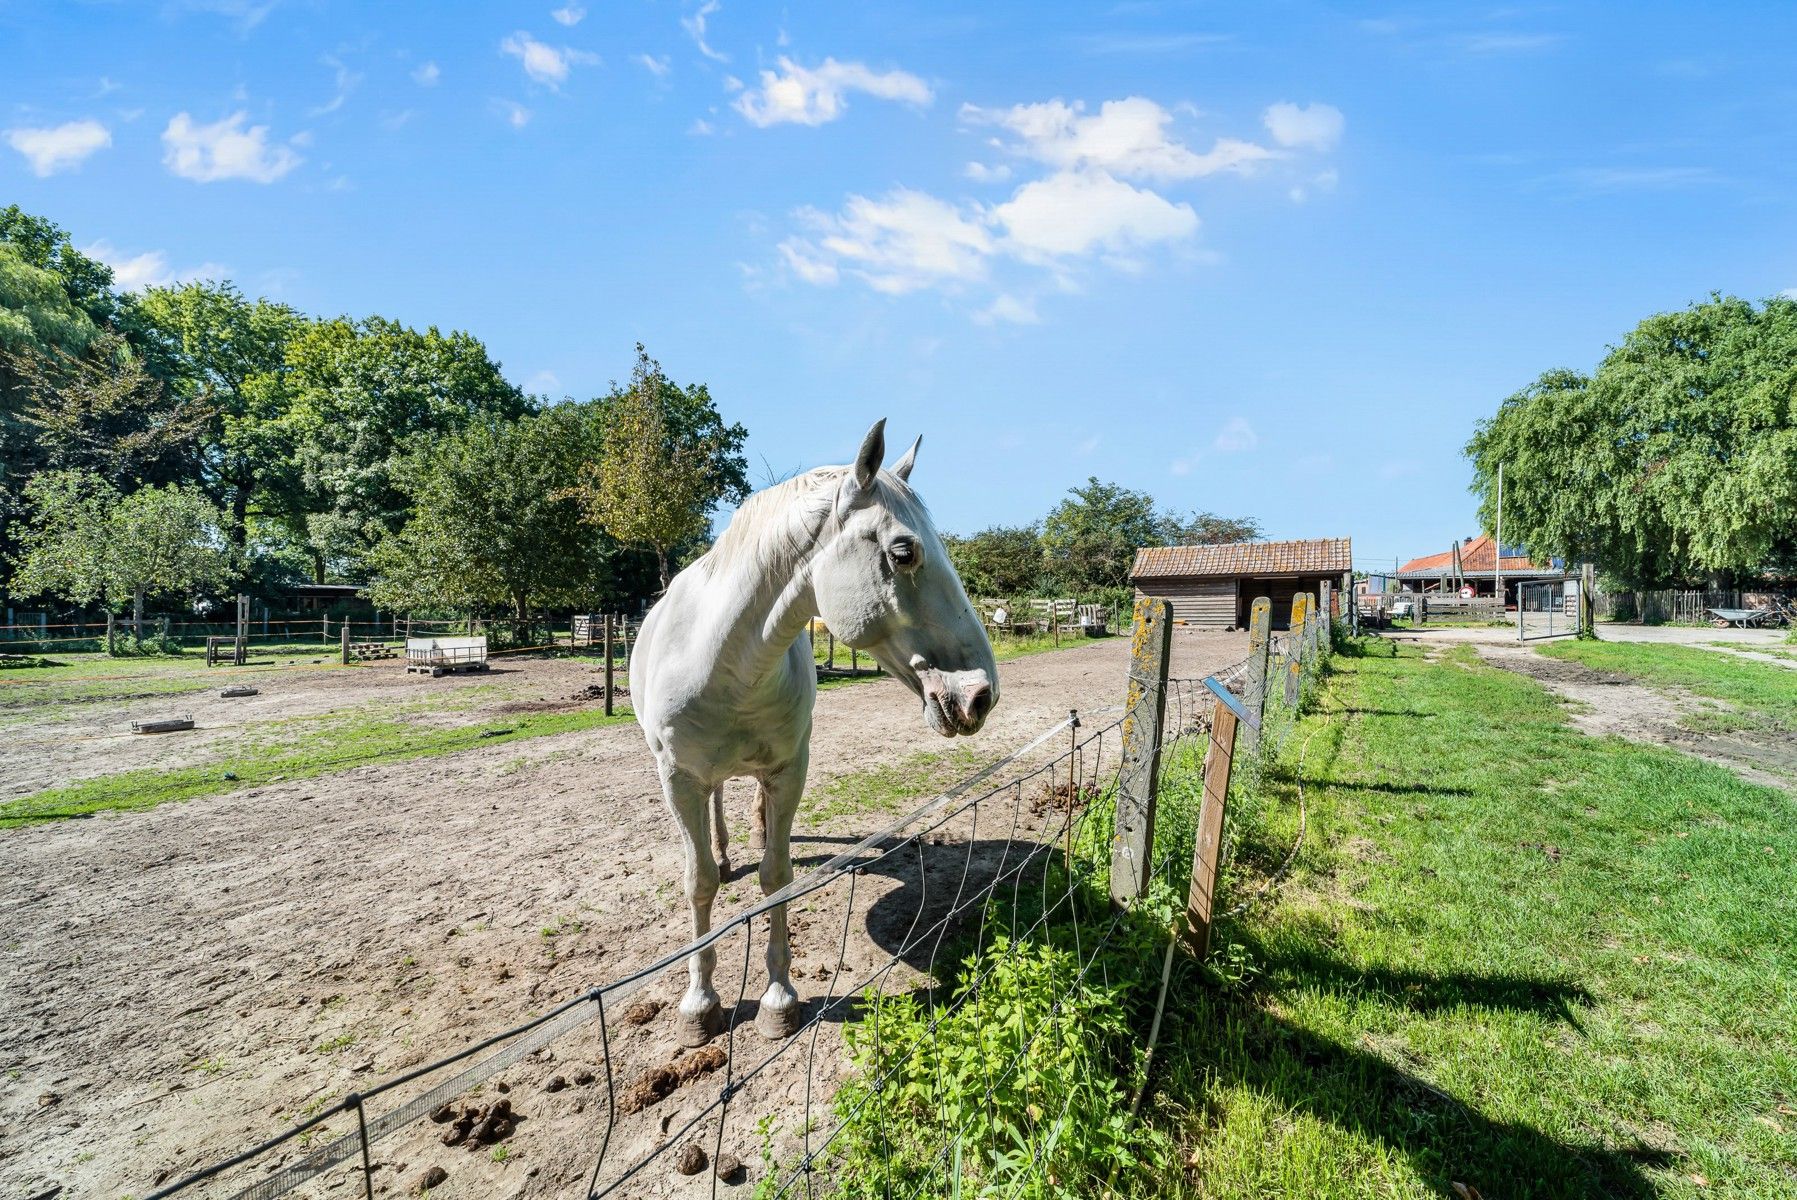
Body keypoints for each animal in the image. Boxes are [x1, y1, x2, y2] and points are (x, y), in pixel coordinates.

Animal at [628, 420, 999, 1041]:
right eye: (904, 552)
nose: (980, 695)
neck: (727, 662)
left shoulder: (788, 770)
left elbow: (775, 877)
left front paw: (779, 1000)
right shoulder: (678, 778)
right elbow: (697, 882)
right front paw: (699, 1005)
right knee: (716, 807)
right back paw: (725, 856)